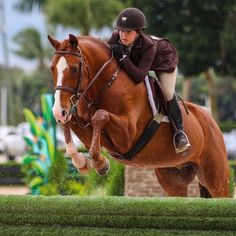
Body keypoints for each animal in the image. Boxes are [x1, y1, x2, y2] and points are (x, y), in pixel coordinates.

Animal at [47, 33, 230, 197]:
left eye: (74, 69)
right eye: (52, 69)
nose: (57, 111)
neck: (106, 84)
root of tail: (211, 121)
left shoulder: (127, 136)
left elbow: (100, 116)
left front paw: (100, 163)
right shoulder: (85, 128)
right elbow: (71, 122)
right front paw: (81, 162)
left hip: (216, 178)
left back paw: (182, 140)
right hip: (174, 178)